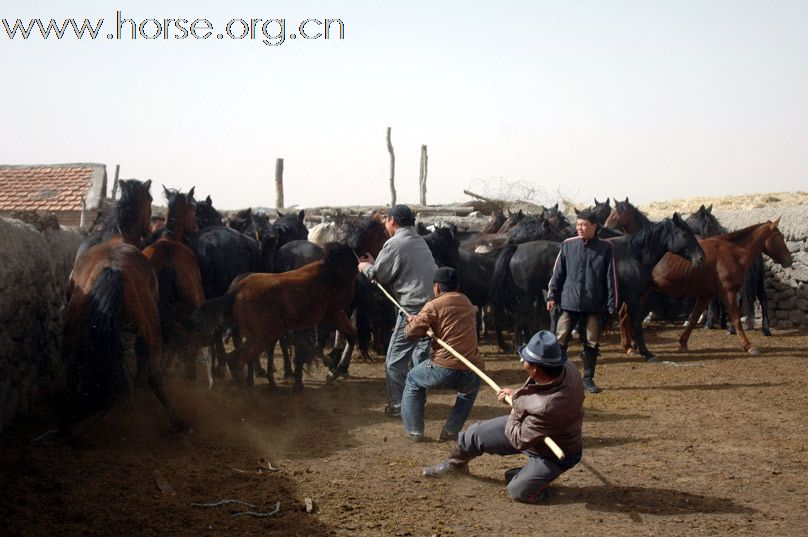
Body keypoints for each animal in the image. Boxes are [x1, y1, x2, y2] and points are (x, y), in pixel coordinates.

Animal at [60, 178, 188, 434]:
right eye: (150, 200)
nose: (149, 229)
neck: (117, 237)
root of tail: (114, 269)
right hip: (151, 329)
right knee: (153, 374)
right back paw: (175, 419)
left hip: (74, 331)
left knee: (72, 369)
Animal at [200, 242, 358, 390]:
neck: (329, 274)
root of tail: (235, 292)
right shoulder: (333, 313)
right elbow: (319, 345)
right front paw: (334, 369)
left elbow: (350, 336)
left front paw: (333, 370)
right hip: (262, 335)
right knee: (236, 358)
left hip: (262, 335)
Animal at [648, 220, 792, 354]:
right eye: (780, 236)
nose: (789, 260)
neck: (732, 253)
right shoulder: (728, 293)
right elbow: (736, 319)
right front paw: (748, 346)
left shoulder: (707, 294)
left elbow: (694, 318)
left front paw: (683, 343)